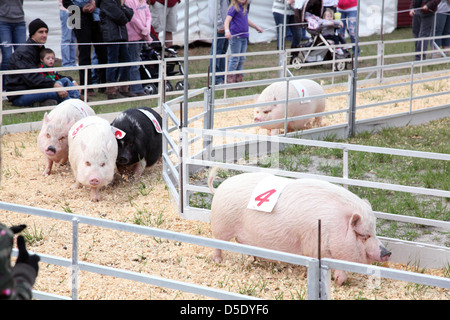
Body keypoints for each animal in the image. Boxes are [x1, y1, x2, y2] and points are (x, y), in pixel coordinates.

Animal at [207, 171, 390, 286]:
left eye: (374, 232)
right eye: (362, 235)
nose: (387, 253)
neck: (333, 227)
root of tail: (220, 187)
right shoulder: (316, 247)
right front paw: (339, 281)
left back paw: (254, 259)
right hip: (221, 225)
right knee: (217, 244)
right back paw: (218, 261)